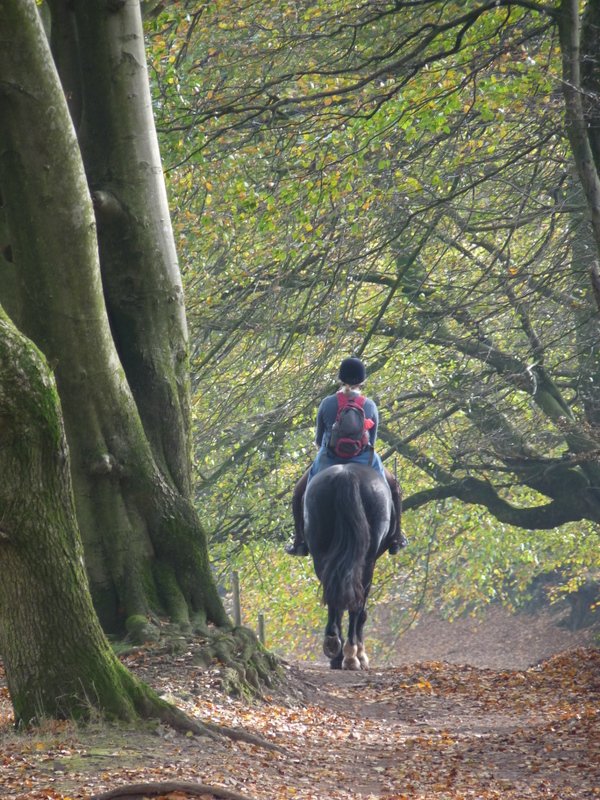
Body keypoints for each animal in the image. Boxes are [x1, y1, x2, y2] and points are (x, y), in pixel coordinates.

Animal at [303, 462, 394, 670]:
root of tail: (347, 476)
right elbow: (361, 612)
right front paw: (360, 655)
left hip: (321, 555)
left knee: (334, 595)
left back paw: (334, 644)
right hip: (366, 562)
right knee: (355, 606)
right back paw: (351, 655)